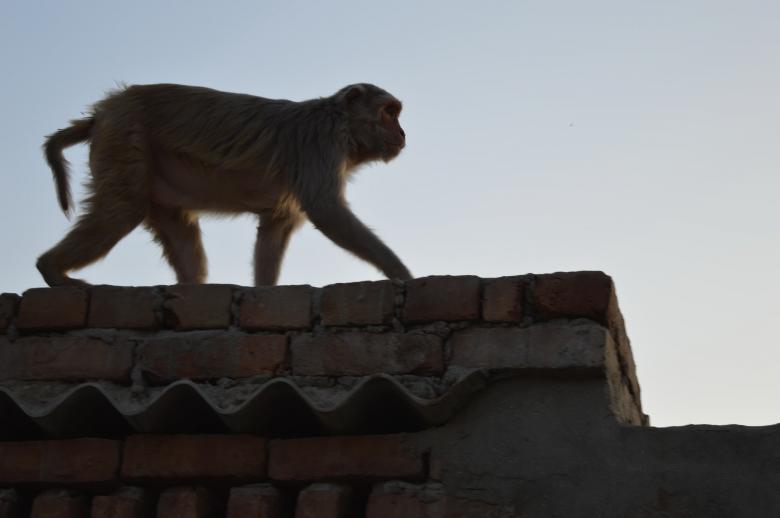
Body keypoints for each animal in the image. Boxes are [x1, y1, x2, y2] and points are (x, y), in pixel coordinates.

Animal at [38, 83, 412, 287]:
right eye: (388, 112)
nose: (402, 132)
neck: (341, 124)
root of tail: (101, 113)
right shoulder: (321, 147)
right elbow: (325, 209)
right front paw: (400, 272)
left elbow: (274, 230)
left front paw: (264, 291)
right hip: (125, 136)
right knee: (122, 209)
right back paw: (50, 268)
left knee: (176, 228)